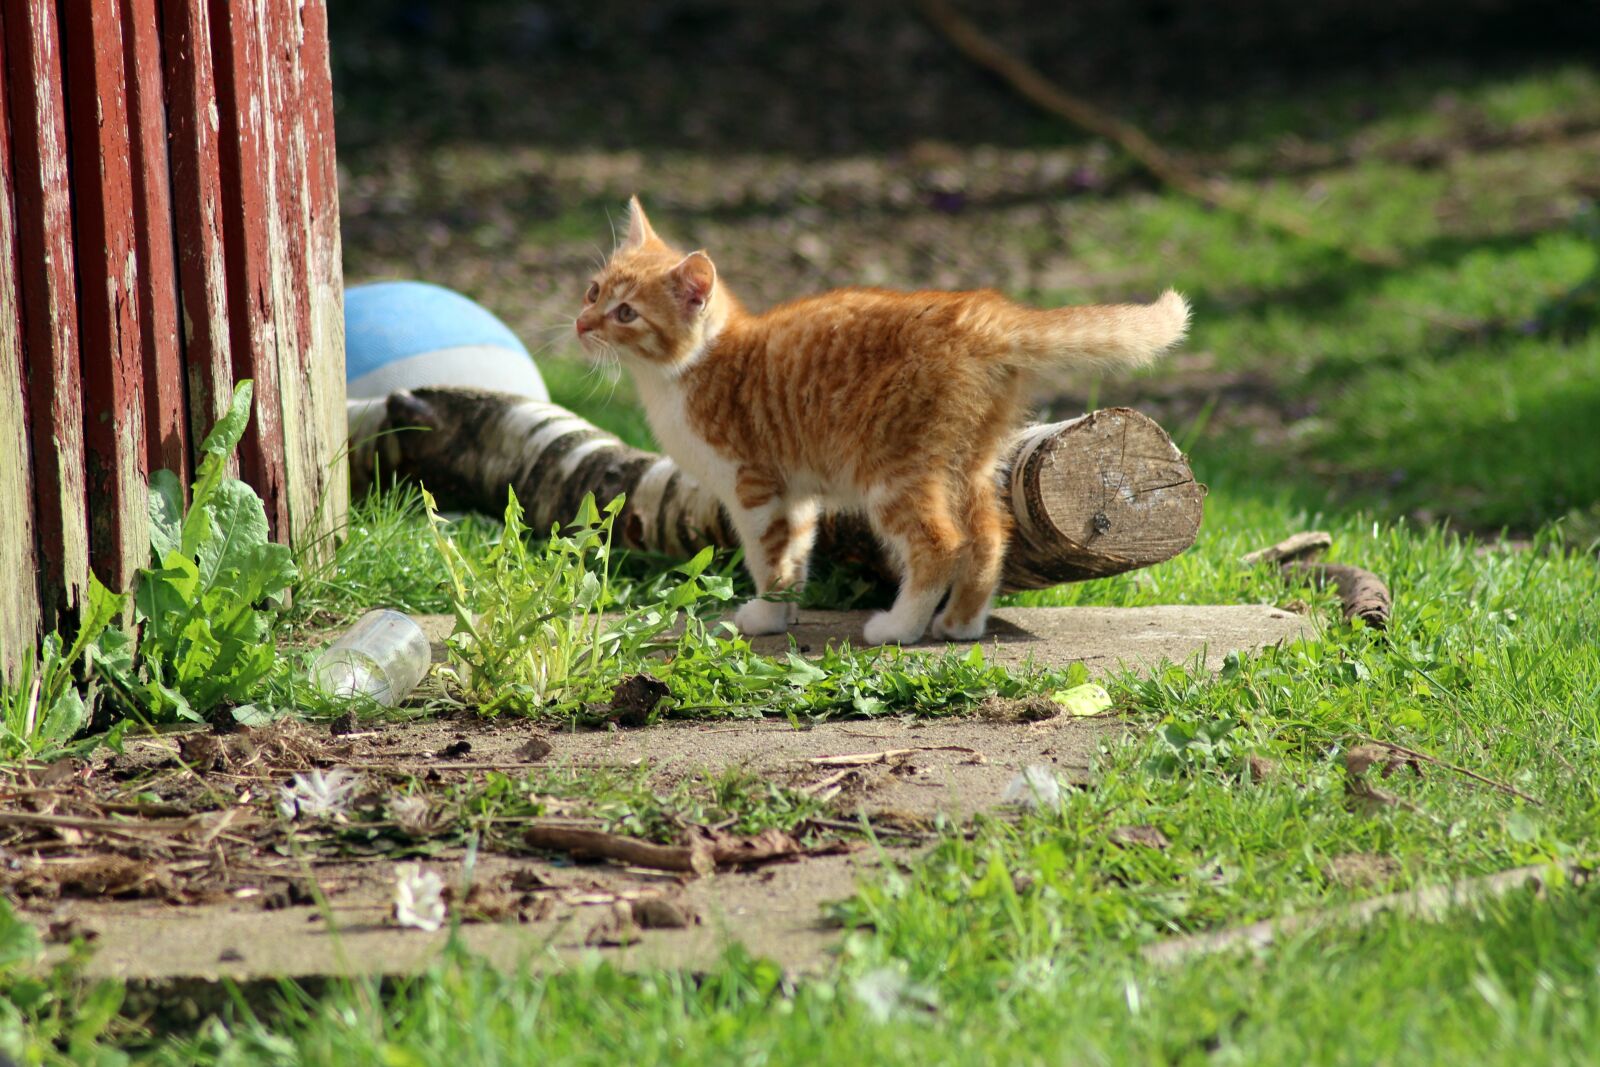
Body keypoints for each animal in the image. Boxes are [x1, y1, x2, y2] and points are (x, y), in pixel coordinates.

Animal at [576, 199, 1190, 646]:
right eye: (593, 290)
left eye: (626, 313)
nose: (582, 324)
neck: (686, 370)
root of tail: (986, 315)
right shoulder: (797, 491)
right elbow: (796, 550)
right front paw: (787, 609)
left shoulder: (753, 484)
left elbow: (766, 553)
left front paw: (766, 614)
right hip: (968, 458)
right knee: (990, 534)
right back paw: (961, 624)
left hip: (893, 467)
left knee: (940, 544)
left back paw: (899, 628)